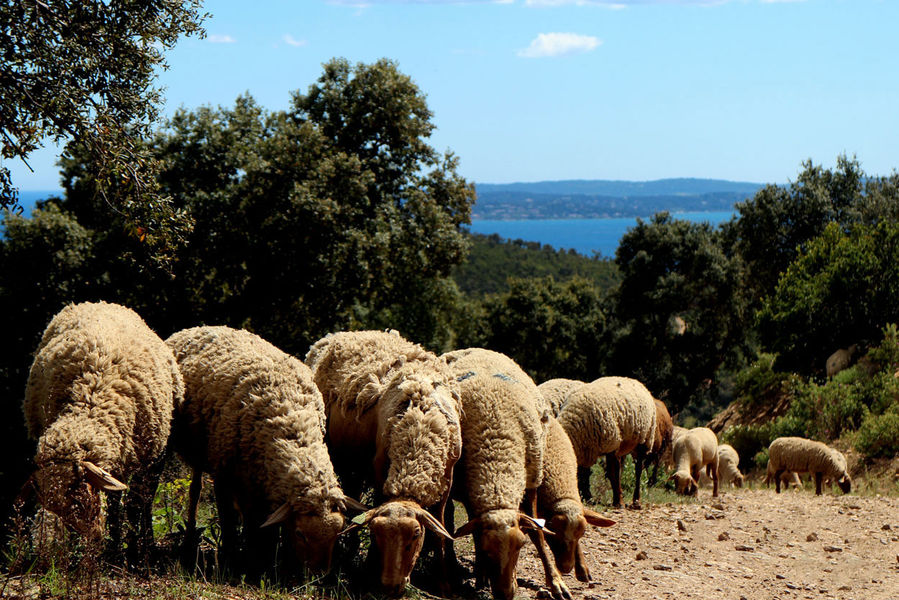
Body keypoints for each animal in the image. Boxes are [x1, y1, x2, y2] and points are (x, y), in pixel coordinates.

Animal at [23, 300, 183, 564]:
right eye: (59, 509)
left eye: (78, 494)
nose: (94, 537)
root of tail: (96, 302)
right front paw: (85, 552)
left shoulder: (149, 457)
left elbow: (137, 504)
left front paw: (135, 552)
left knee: (141, 503)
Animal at [168, 326, 356, 580]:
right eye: (300, 534)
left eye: (338, 533)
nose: (318, 576)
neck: (292, 426)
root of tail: (201, 327)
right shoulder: (224, 475)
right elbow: (230, 519)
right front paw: (236, 558)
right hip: (199, 452)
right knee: (195, 491)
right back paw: (189, 540)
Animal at [306, 330, 460, 596]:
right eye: (377, 535)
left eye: (415, 536)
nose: (391, 587)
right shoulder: (379, 467)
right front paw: (370, 569)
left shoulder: (446, 478)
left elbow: (440, 531)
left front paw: (444, 583)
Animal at [442, 346, 552, 600]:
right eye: (486, 550)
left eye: (520, 545)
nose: (505, 594)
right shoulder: (472, 492)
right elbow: (474, 533)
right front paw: (481, 576)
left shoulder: (531, 480)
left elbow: (538, 534)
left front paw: (557, 582)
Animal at [552, 378, 656, 508]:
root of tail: (635, 381)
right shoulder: (586, 450)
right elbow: (584, 474)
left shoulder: (612, 446)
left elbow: (614, 473)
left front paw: (618, 502)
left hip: (645, 439)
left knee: (638, 470)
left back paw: (636, 501)